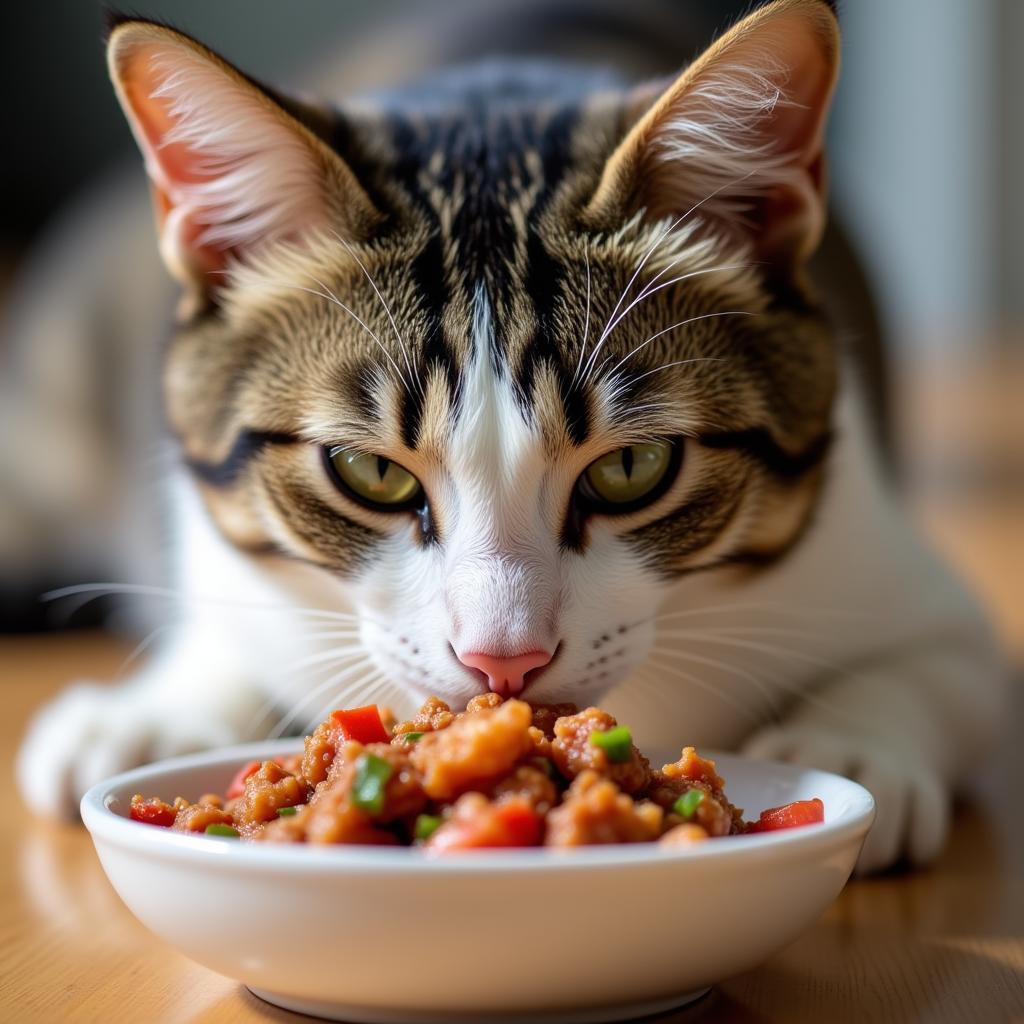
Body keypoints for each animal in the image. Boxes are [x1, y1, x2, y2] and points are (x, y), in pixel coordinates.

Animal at [16, 0, 1003, 872]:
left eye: (633, 466)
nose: (505, 661)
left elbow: (942, 668)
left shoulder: (902, 579)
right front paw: (149, 711)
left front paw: (849, 745)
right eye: (369, 470)